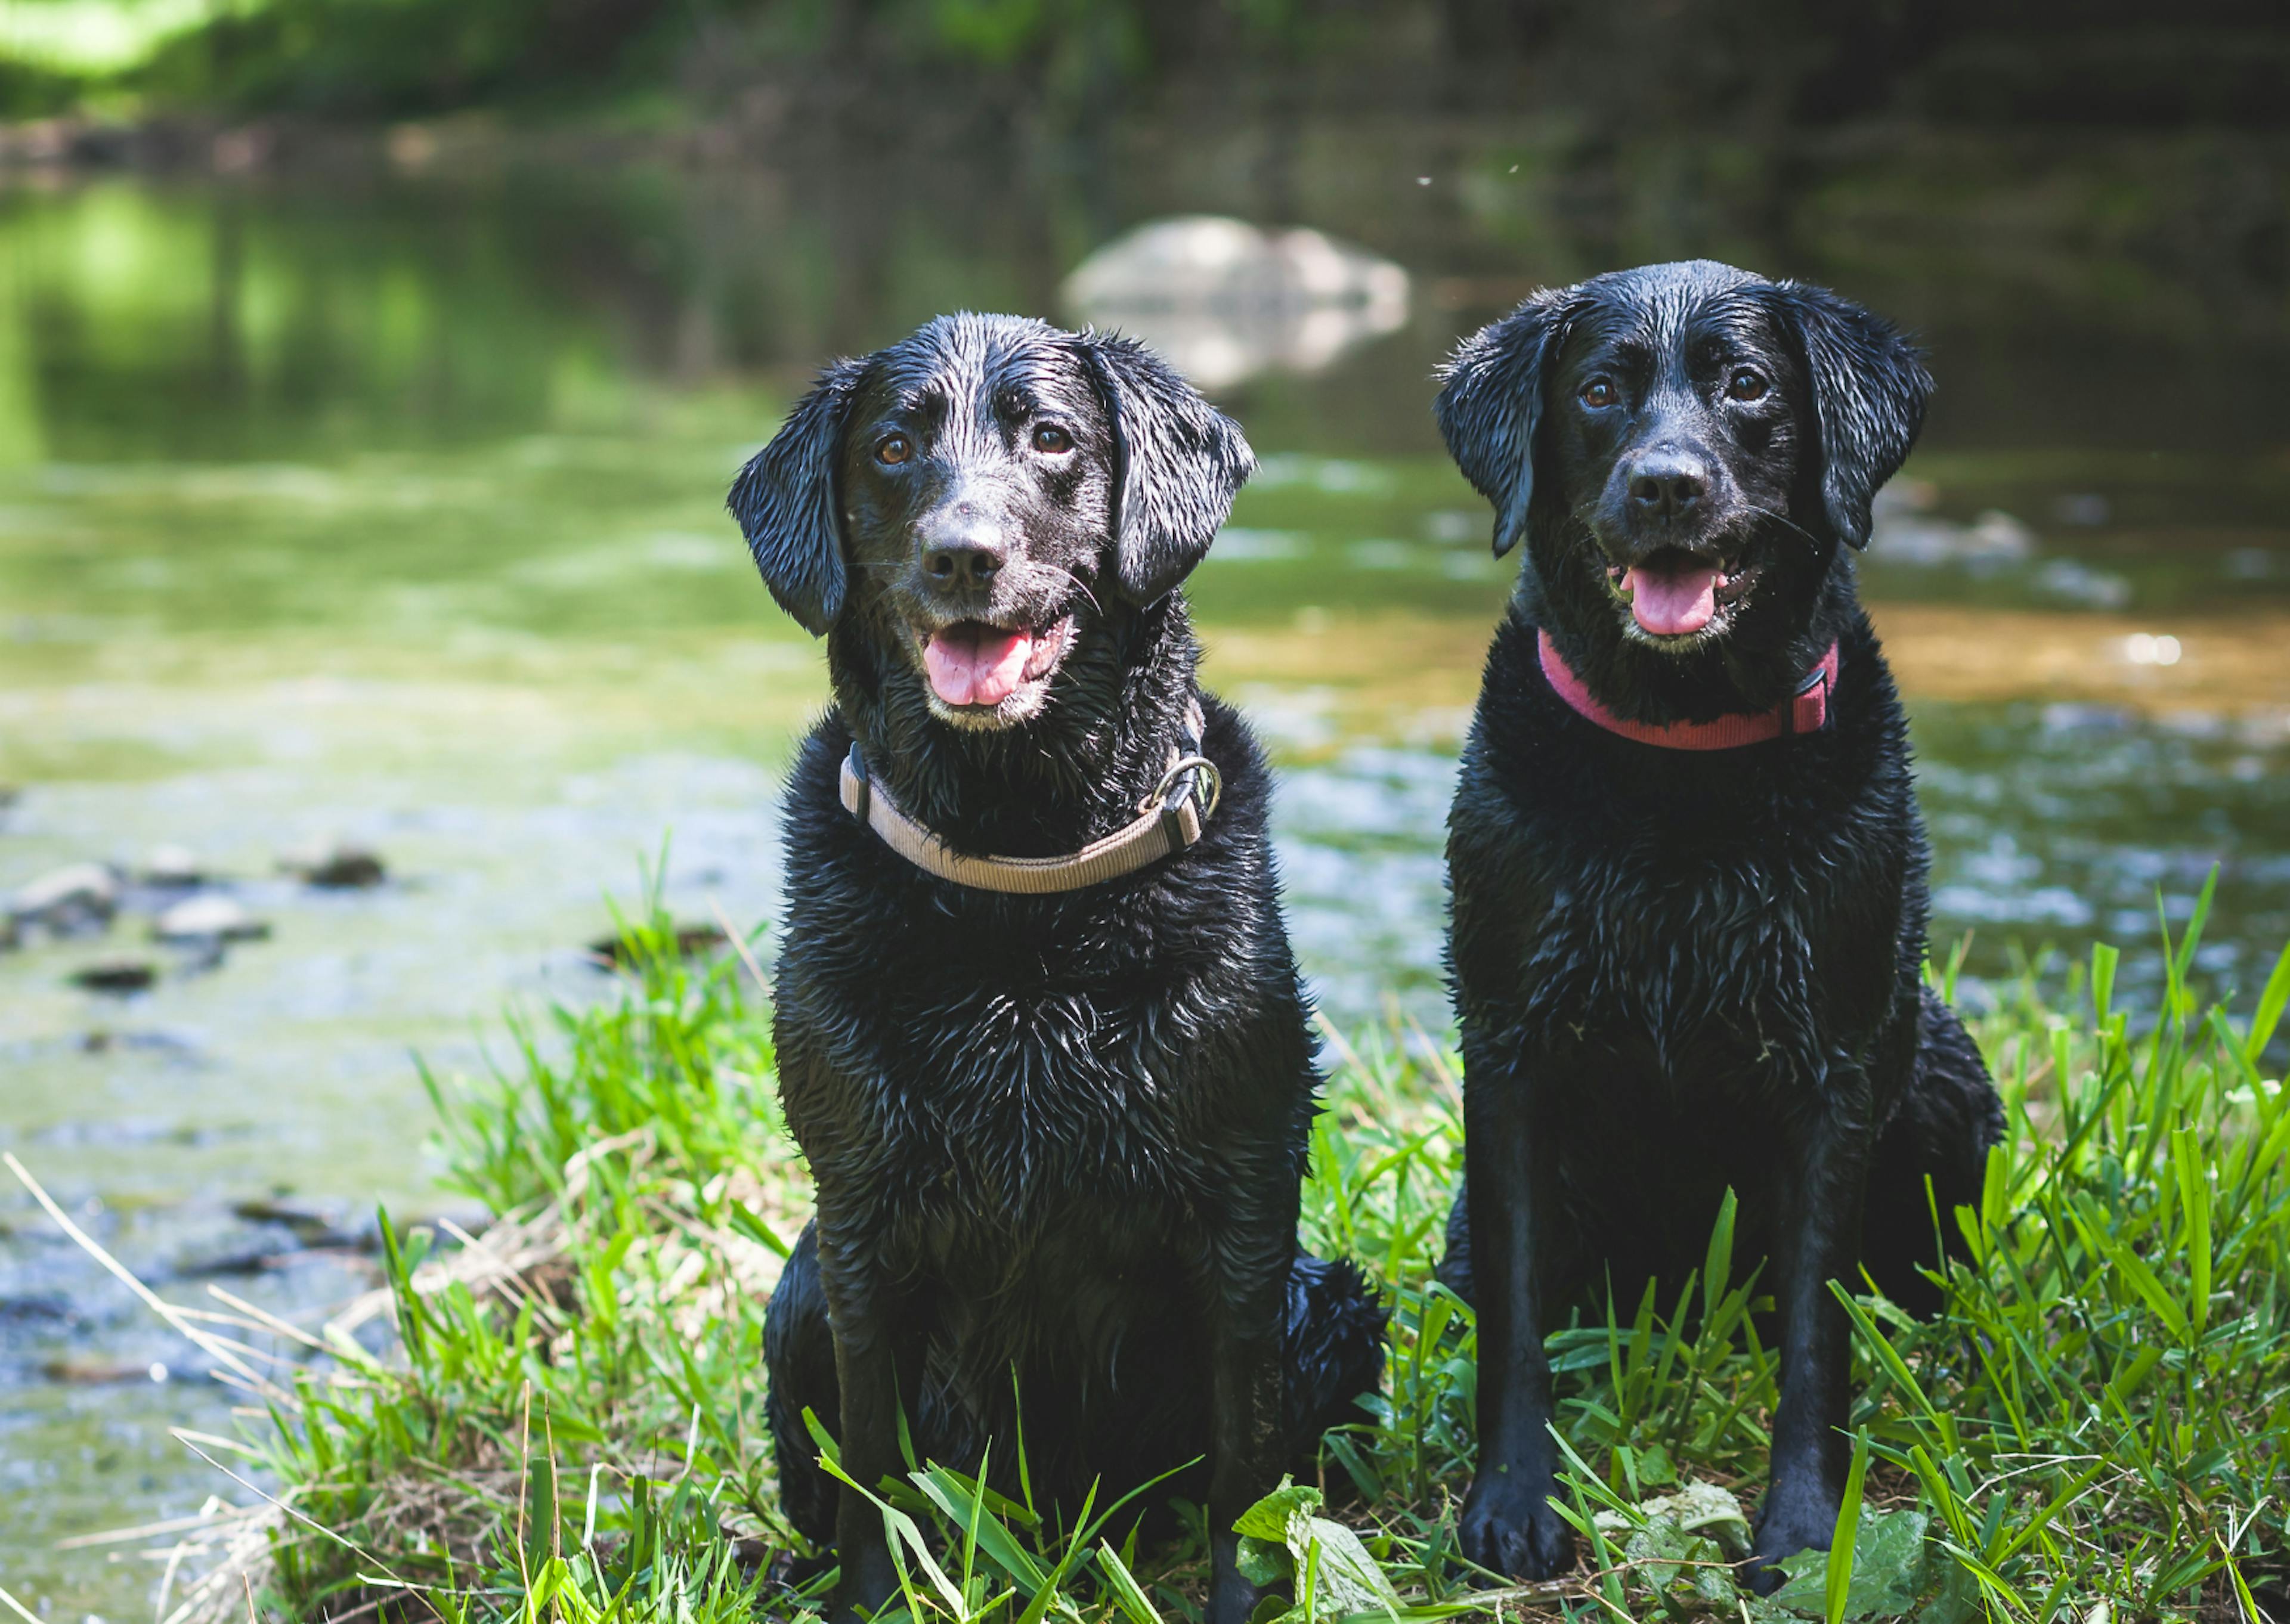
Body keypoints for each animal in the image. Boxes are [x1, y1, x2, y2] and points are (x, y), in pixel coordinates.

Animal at [728, 314, 1374, 1622]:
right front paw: (868, 1598)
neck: (1020, 876)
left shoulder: (1243, 1214)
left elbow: (1246, 1480)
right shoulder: (861, 1221)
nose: (961, 556)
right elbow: (870, 1471)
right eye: (892, 447)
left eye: (1054, 439)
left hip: (1331, 1301)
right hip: (798, 1294)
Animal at [1429, 263, 2006, 1585]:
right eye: (1600, 391)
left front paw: (1802, 1526)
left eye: (1747, 384)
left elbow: (1817, 1339)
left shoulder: (1838, 1065)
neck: (1679, 762)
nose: (1668, 485)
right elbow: (1518, 1321)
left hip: (1944, 1069)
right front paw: (1510, 1502)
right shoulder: (1511, 1052)